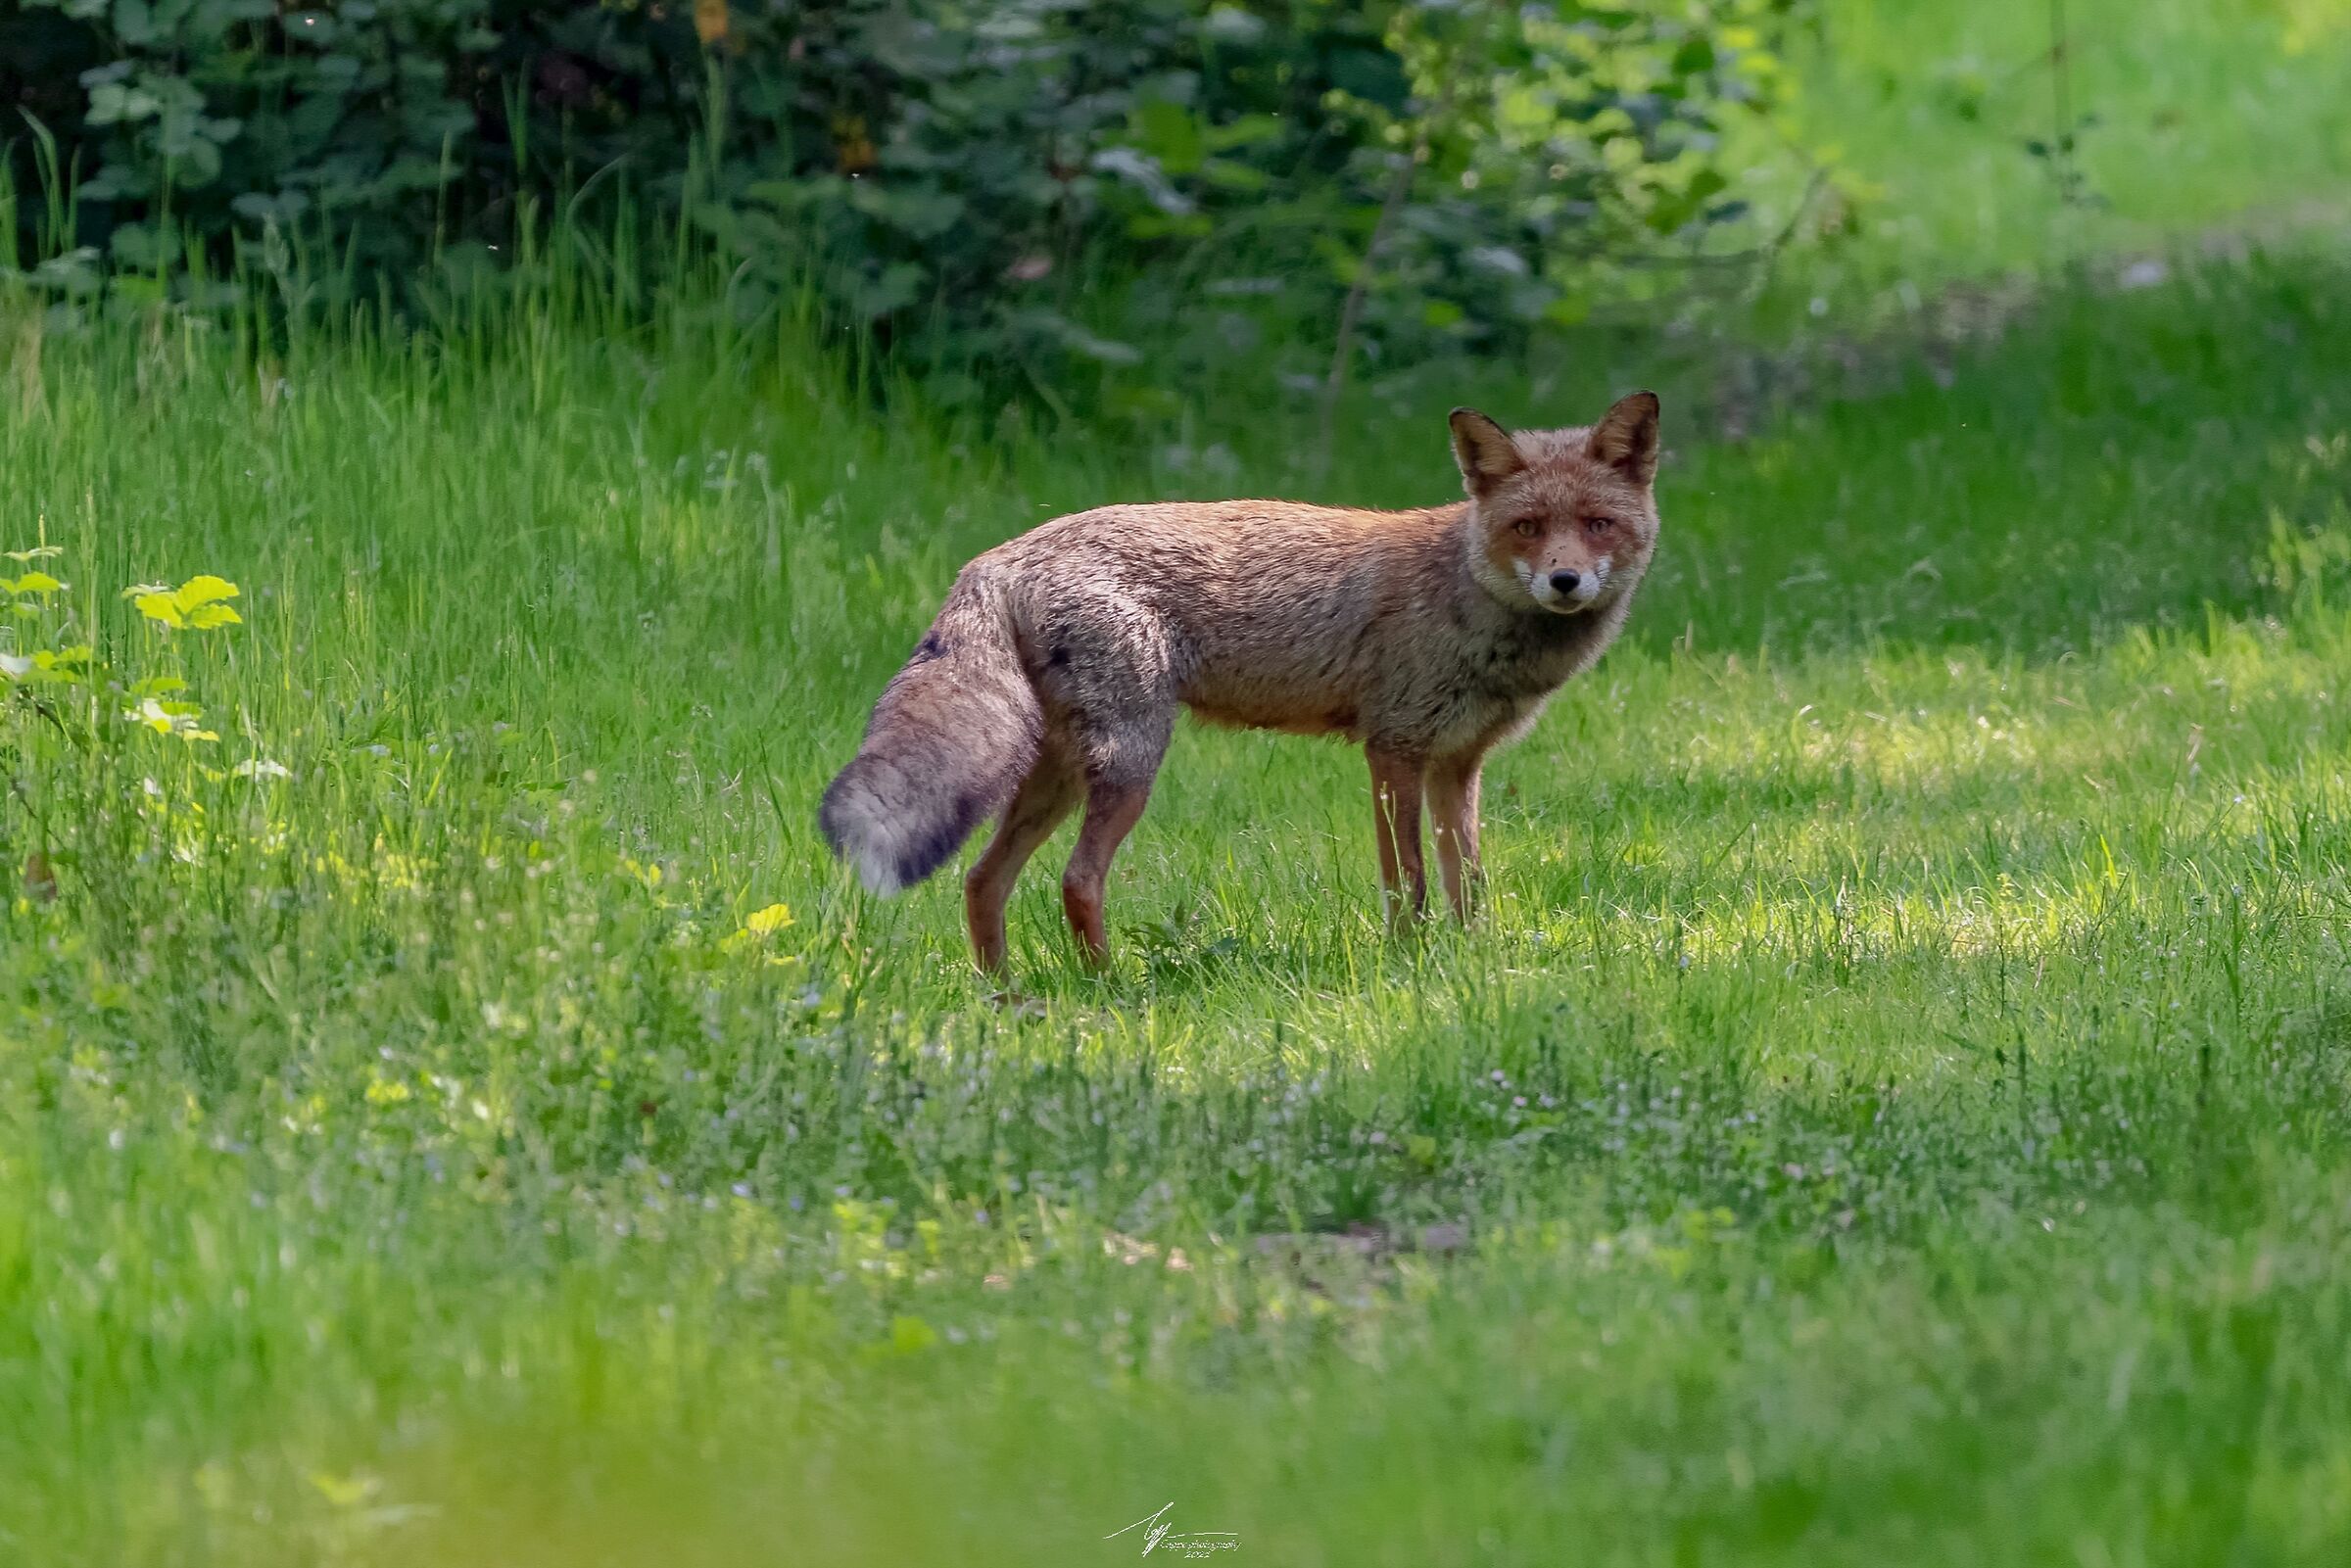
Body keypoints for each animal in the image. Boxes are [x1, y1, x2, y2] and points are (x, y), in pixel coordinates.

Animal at [820, 391, 1663, 975]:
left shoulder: (1457, 765)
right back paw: (1108, 987)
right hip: (1131, 763)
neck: (1468, 600)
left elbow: (1469, 885)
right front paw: (1410, 967)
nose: (1564, 581)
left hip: (1055, 773)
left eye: (1597, 524)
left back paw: (1007, 997)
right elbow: (1409, 884)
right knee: (1076, 880)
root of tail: (999, 556)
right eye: (1528, 527)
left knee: (981, 880)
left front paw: (1474, 964)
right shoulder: (1394, 749)